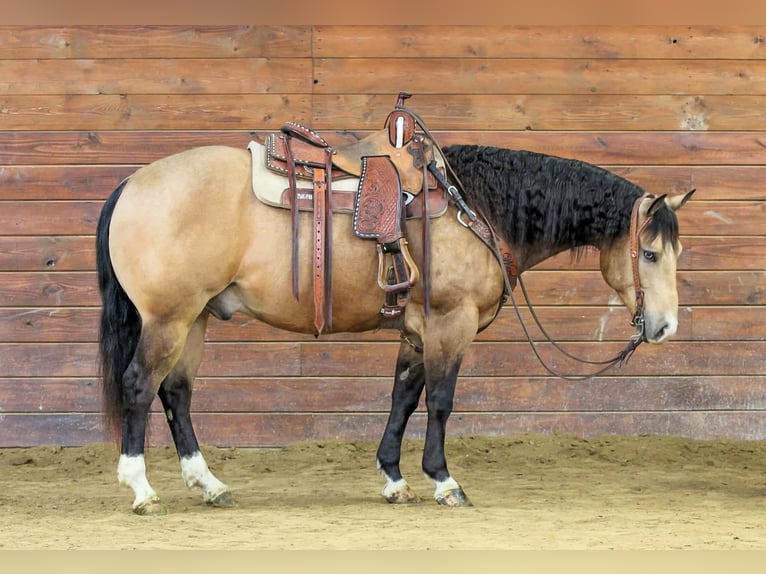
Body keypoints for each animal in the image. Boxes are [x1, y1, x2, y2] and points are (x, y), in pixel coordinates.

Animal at [96, 131, 694, 515]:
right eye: (650, 253)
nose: (665, 327)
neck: (474, 209)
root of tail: (132, 182)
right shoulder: (451, 324)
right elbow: (441, 401)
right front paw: (444, 481)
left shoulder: (417, 331)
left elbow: (403, 397)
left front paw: (394, 478)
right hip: (169, 318)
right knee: (139, 385)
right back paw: (141, 489)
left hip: (195, 317)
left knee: (176, 393)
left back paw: (209, 484)